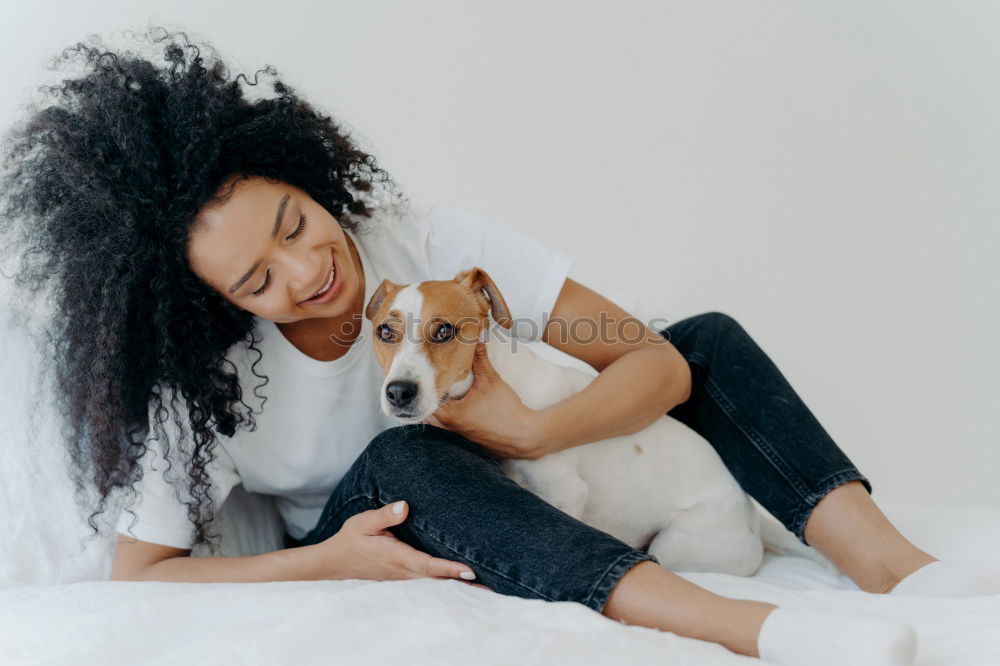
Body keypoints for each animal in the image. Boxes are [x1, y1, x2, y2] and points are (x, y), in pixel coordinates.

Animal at [364, 264, 824, 572]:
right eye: (385, 332)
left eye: (444, 331)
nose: (398, 392)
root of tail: (750, 513)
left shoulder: (565, 494)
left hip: (679, 543)